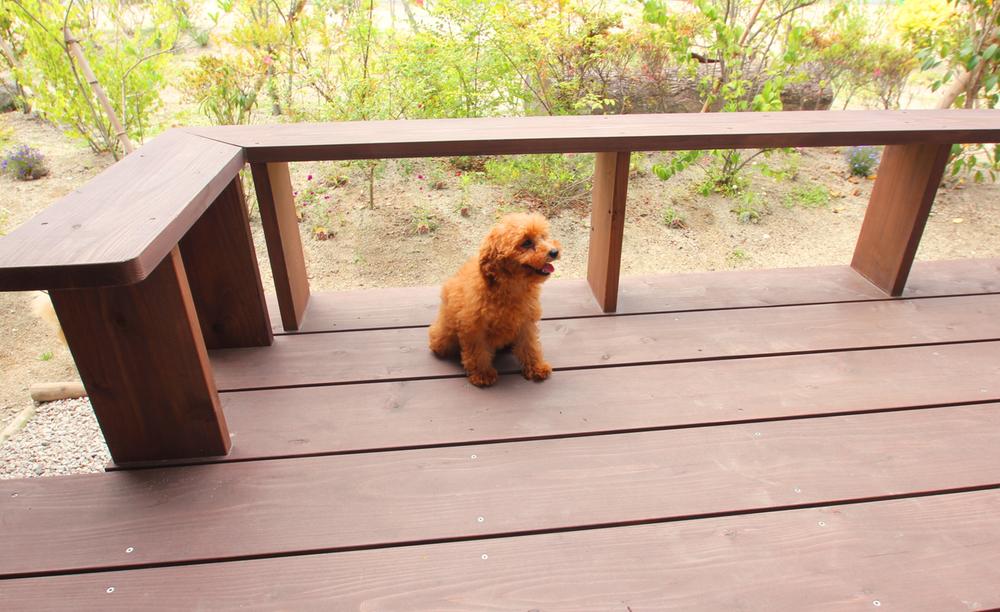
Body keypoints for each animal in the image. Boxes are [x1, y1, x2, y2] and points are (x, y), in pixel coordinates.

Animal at [426, 213, 560, 384]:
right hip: (444, 336)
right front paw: (482, 374)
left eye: (543, 237)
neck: (511, 288)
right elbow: (477, 352)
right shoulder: (474, 326)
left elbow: (530, 346)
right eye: (526, 242)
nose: (554, 251)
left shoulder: (526, 322)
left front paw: (536, 367)